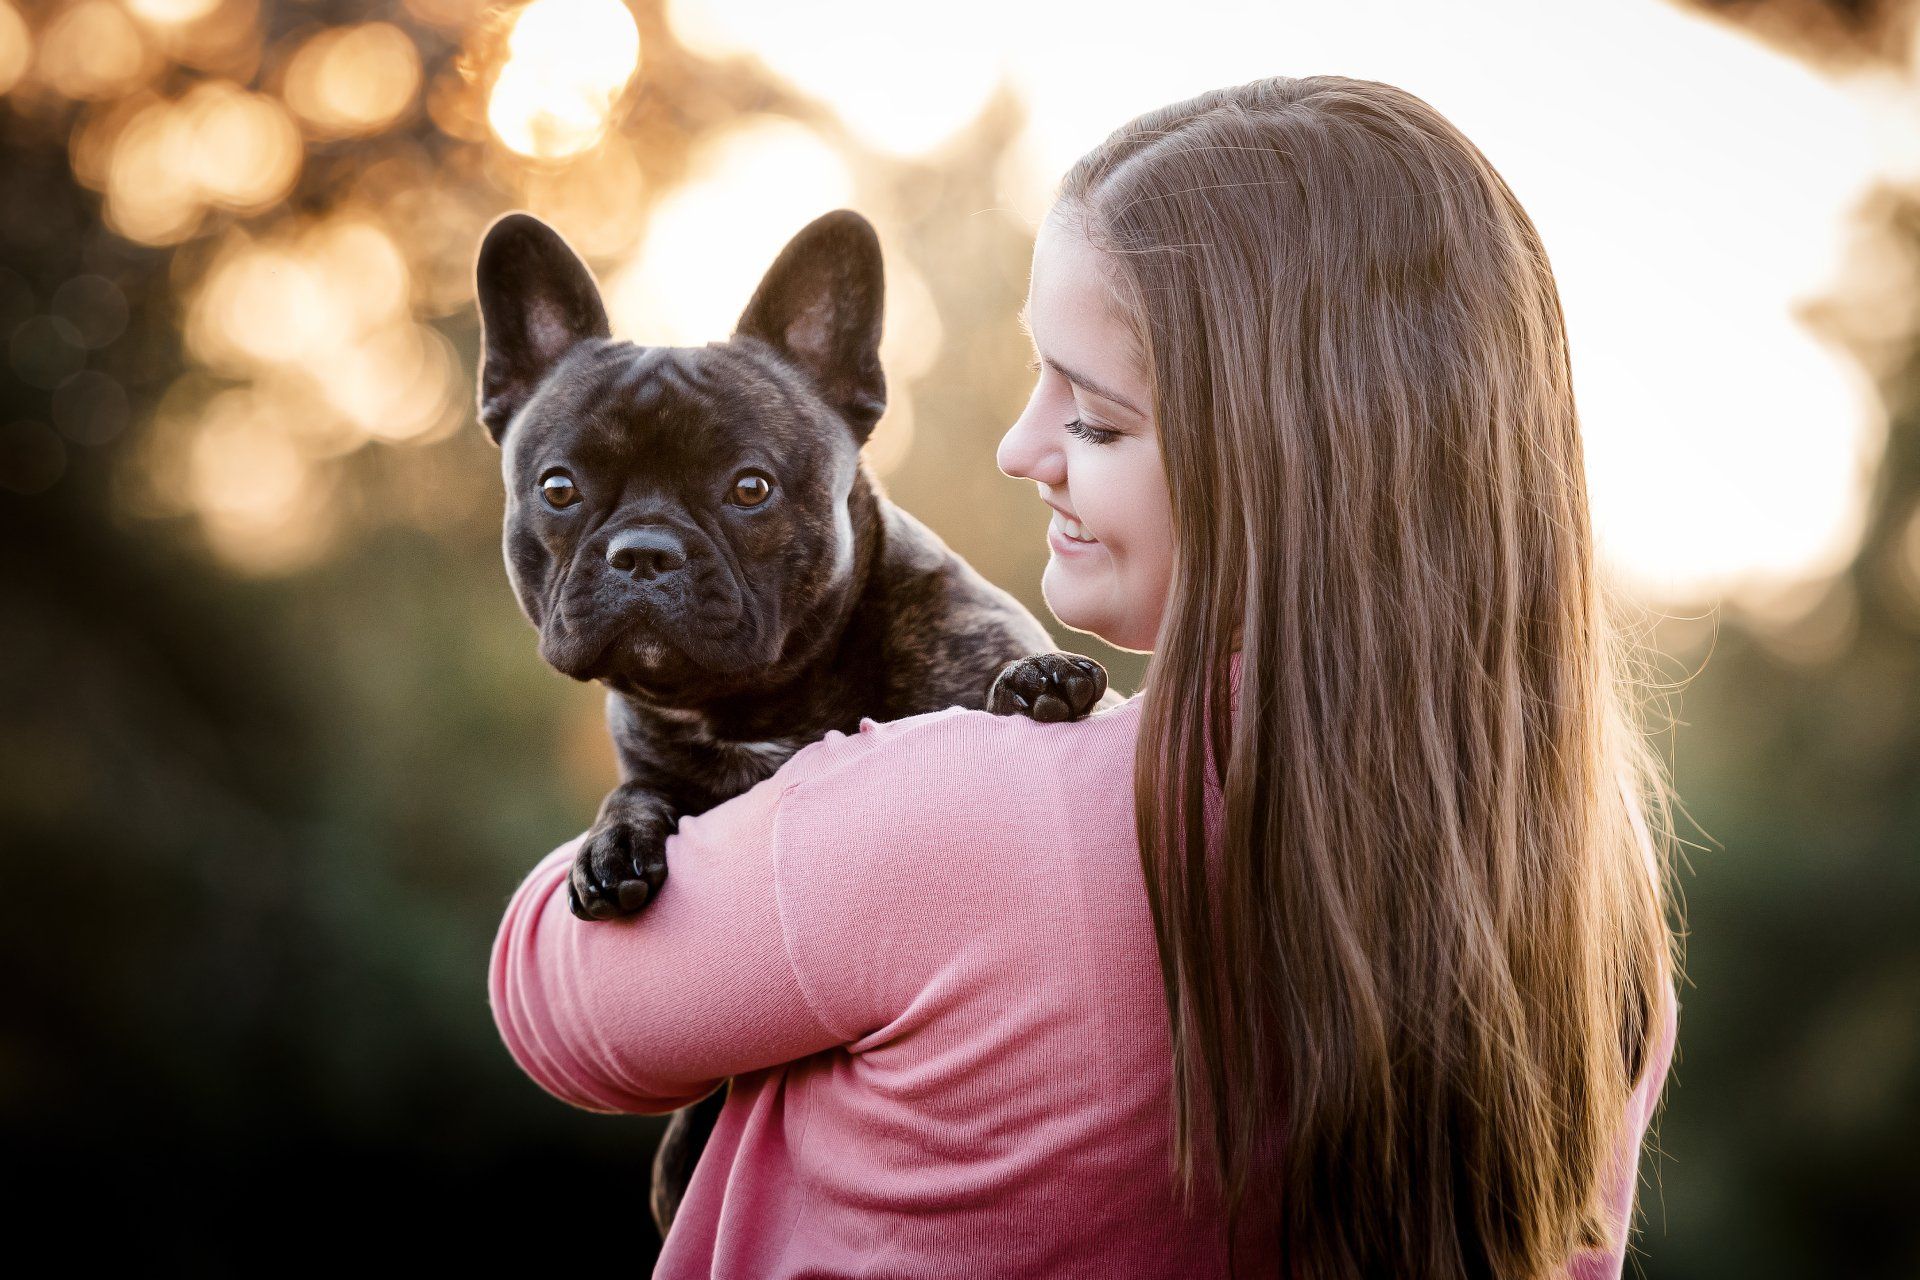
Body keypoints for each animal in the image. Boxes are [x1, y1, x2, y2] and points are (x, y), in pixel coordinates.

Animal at [475, 206, 1121, 1238]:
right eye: (558, 489)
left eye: (751, 488)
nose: (643, 551)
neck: (765, 698)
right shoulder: (656, 752)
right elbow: (637, 790)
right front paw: (611, 846)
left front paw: (1038, 676)